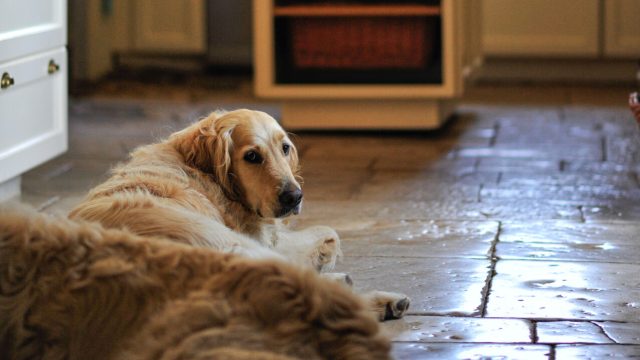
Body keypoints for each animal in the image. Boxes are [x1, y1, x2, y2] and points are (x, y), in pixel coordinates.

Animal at [70, 109, 410, 320]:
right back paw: (380, 300)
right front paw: (325, 256)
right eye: (252, 157)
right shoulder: (253, 237)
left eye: (285, 148)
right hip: (226, 243)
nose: (294, 197)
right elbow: (329, 232)